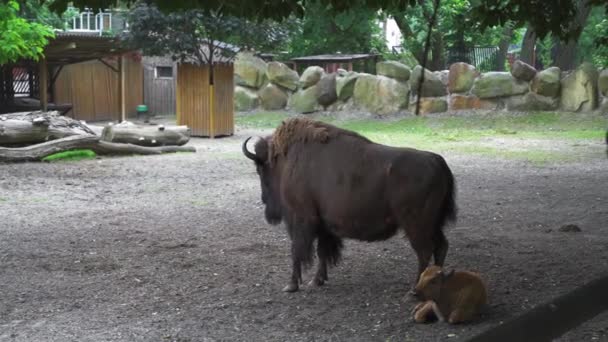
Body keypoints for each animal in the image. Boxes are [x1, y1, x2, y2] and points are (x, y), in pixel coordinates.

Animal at [242, 117, 456, 292]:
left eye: (261, 170)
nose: (265, 203)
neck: (287, 159)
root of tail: (438, 161)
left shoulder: (301, 219)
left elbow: (297, 251)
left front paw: (291, 285)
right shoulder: (323, 225)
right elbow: (322, 252)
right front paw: (317, 280)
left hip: (417, 225)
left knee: (424, 251)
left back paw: (414, 289)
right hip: (433, 224)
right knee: (441, 247)